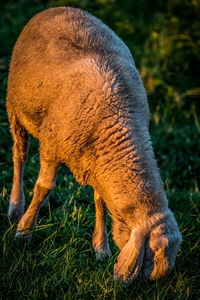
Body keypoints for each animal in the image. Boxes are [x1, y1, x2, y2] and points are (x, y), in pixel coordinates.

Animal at [6, 5, 182, 284]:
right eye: (152, 251)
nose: (148, 284)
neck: (119, 122)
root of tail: (59, 8)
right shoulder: (52, 145)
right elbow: (44, 186)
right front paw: (23, 233)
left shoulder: (97, 163)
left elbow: (100, 202)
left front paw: (101, 248)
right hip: (16, 109)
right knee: (19, 157)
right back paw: (17, 207)